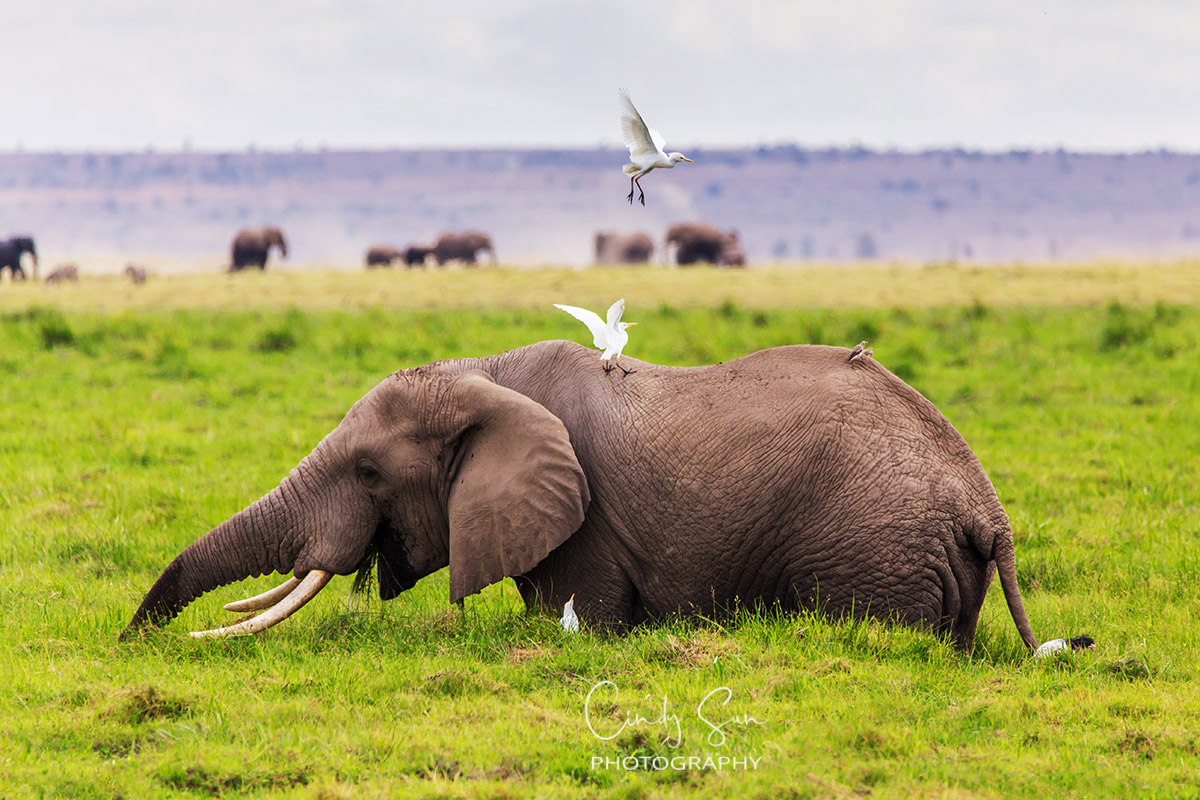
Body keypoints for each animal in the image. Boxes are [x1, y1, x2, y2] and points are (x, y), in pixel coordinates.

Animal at [122, 339, 1040, 655]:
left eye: (370, 474)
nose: (129, 642)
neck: (485, 373)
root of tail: (986, 510)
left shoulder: (588, 526)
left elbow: (581, 620)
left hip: (875, 552)